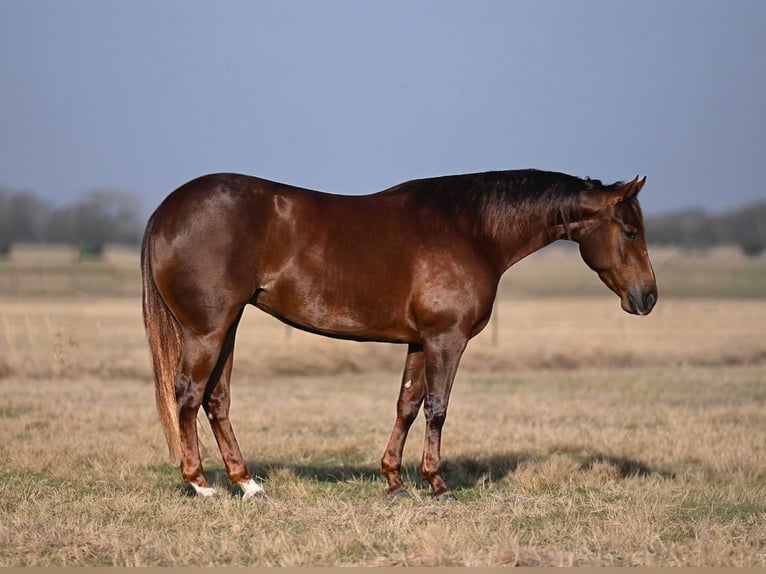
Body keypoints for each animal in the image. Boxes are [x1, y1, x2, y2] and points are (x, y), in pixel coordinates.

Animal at [141, 169, 657, 501]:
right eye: (631, 232)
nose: (648, 297)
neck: (469, 230)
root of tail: (167, 208)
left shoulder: (419, 341)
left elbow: (407, 405)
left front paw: (395, 481)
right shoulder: (447, 339)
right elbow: (437, 409)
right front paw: (438, 485)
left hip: (226, 328)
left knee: (216, 399)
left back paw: (246, 483)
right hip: (206, 330)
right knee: (188, 394)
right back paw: (200, 484)